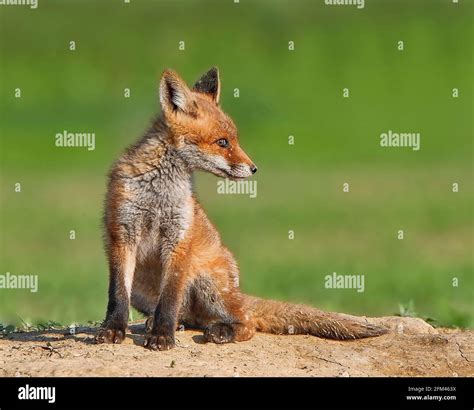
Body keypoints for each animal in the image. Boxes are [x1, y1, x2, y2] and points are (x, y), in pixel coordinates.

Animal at [97, 67, 388, 350]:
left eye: (233, 140)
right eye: (222, 142)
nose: (254, 168)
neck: (159, 192)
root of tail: (238, 293)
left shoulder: (179, 238)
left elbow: (169, 298)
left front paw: (162, 336)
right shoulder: (122, 233)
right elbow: (117, 295)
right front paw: (113, 330)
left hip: (210, 285)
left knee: (245, 323)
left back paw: (219, 330)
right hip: (143, 286)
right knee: (191, 316)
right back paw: (166, 323)